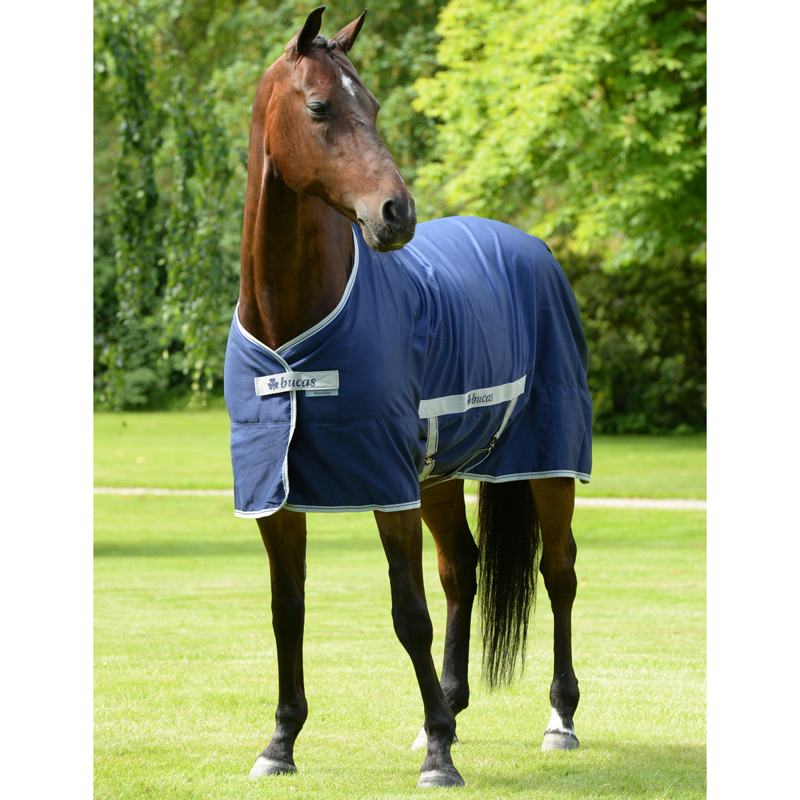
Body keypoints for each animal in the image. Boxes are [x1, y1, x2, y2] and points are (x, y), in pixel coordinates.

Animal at [224, 6, 590, 789]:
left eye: (375, 106)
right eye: (321, 106)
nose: (397, 213)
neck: (292, 327)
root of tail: (530, 247)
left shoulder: (386, 487)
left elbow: (407, 614)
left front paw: (442, 760)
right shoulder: (275, 492)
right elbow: (287, 609)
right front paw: (281, 742)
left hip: (547, 462)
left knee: (559, 572)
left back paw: (559, 719)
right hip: (439, 476)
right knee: (462, 570)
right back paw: (445, 707)